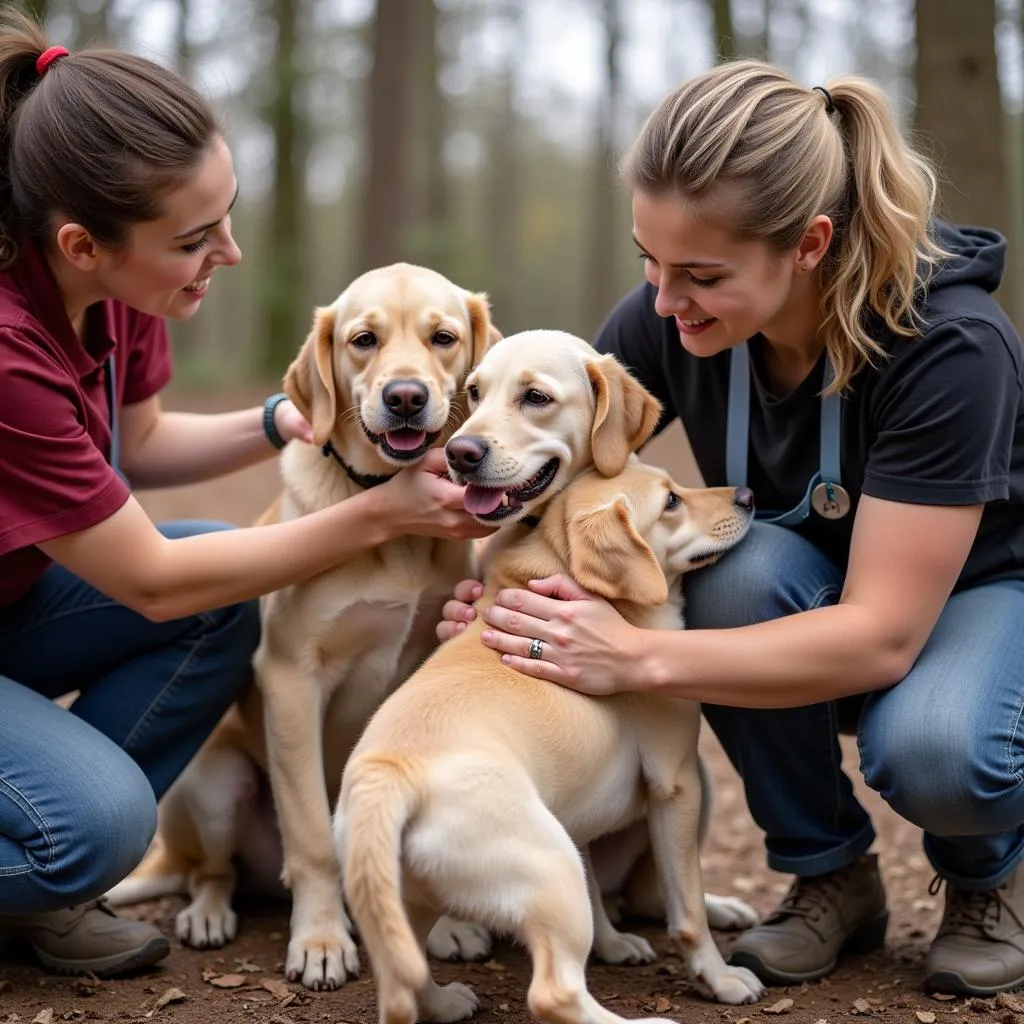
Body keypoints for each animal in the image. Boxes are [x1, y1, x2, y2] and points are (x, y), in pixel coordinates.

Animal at [105, 264, 497, 991]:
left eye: (444, 338)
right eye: (364, 340)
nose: (405, 397)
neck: (389, 524)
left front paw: (448, 927)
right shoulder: (291, 678)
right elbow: (313, 838)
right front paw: (320, 940)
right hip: (216, 780)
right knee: (214, 872)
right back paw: (208, 915)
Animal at [335, 462, 761, 1024]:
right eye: (670, 501)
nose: (748, 495)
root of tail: (390, 773)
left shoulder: (576, 805)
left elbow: (602, 893)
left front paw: (612, 942)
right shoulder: (675, 784)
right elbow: (687, 911)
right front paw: (719, 978)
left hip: (408, 905)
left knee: (405, 978)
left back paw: (445, 1002)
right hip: (552, 871)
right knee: (553, 994)